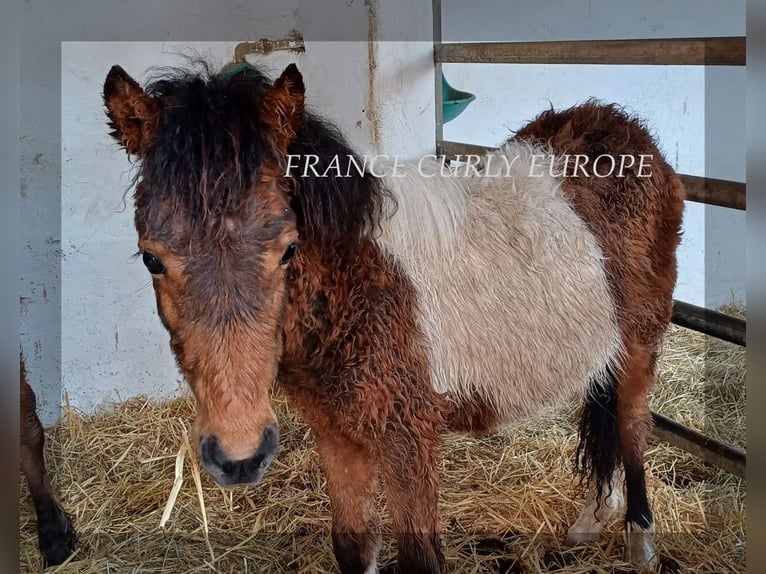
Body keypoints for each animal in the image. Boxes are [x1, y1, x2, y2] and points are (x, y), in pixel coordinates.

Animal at [100, 63, 684, 574]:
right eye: (152, 258)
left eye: (289, 248)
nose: (239, 455)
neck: (355, 282)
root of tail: (628, 132)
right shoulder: (336, 432)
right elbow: (354, 550)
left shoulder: (409, 439)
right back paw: (592, 520)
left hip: (640, 342)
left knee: (631, 426)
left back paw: (641, 544)